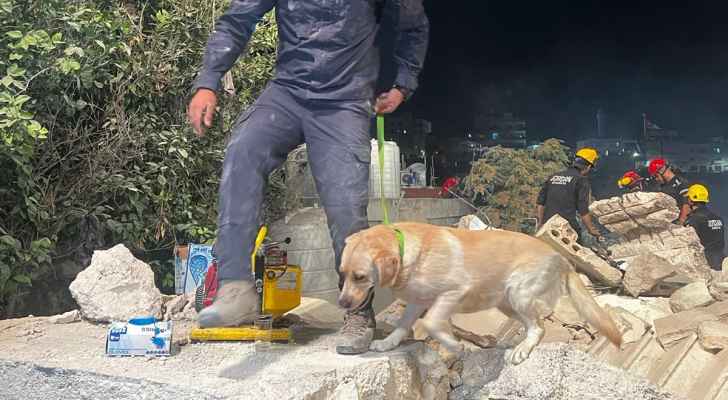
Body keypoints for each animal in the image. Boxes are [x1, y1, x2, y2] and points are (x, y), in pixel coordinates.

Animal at [338, 223, 624, 364]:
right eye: (342, 274)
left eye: (360, 277)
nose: (342, 303)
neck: (406, 247)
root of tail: (562, 258)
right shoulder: (417, 302)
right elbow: (402, 326)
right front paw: (387, 343)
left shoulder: (452, 292)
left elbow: (431, 323)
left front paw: (454, 344)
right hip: (506, 303)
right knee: (532, 324)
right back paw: (511, 343)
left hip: (518, 292)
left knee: (539, 327)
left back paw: (522, 348)